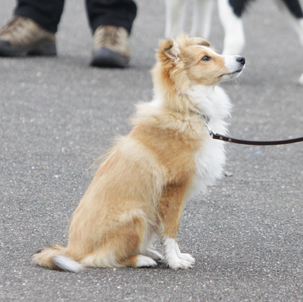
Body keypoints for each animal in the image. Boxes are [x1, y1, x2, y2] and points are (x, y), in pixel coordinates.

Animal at [32, 34, 247, 272]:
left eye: (214, 53)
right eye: (205, 58)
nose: (242, 59)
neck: (186, 110)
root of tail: (72, 250)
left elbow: (170, 230)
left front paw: (177, 257)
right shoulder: (173, 190)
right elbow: (171, 230)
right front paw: (175, 262)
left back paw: (149, 252)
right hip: (137, 215)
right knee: (102, 258)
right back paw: (142, 259)